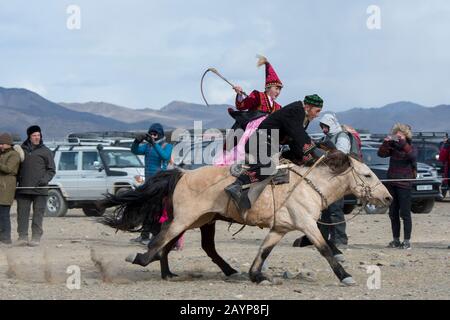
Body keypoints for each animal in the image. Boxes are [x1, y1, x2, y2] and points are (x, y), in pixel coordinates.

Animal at [100, 151, 392, 286]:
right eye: (367, 174)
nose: (388, 198)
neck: (309, 185)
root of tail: (183, 174)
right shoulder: (308, 225)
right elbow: (325, 249)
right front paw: (345, 276)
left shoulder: (280, 229)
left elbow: (264, 251)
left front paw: (256, 275)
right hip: (186, 219)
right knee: (161, 241)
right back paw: (141, 259)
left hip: (198, 220)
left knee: (173, 245)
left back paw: (171, 273)